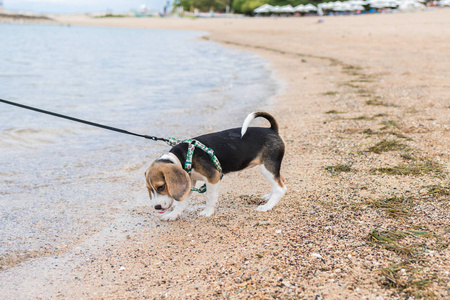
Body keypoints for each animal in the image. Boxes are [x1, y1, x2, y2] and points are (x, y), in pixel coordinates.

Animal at [144, 111, 286, 221]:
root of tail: (271, 129)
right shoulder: (189, 182)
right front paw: (173, 215)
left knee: (281, 188)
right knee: (281, 181)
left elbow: (210, 196)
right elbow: (182, 202)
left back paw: (267, 206)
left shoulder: (213, 178)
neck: (183, 157)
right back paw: (269, 197)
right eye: (150, 189)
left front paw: (208, 212)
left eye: (161, 187)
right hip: (271, 168)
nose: (157, 207)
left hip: (267, 167)